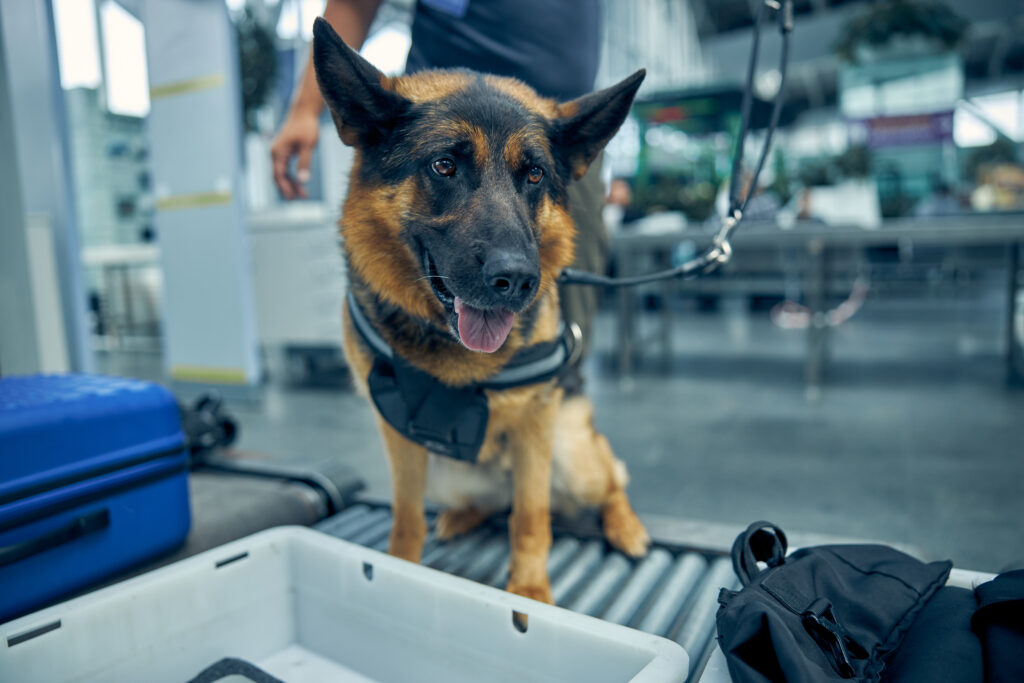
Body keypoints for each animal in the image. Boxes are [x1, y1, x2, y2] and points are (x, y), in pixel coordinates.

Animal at [311, 17, 647, 602]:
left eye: (534, 175)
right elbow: (405, 517)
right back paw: (461, 518)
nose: (516, 281)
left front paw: (529, 594)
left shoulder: (537, 425)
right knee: (489, 505)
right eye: (444, 165)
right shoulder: (399, 435)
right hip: (449, 475)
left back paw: (626, 526)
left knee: (606, 479)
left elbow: (531, 517)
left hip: (572, 452)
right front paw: (402, 567)